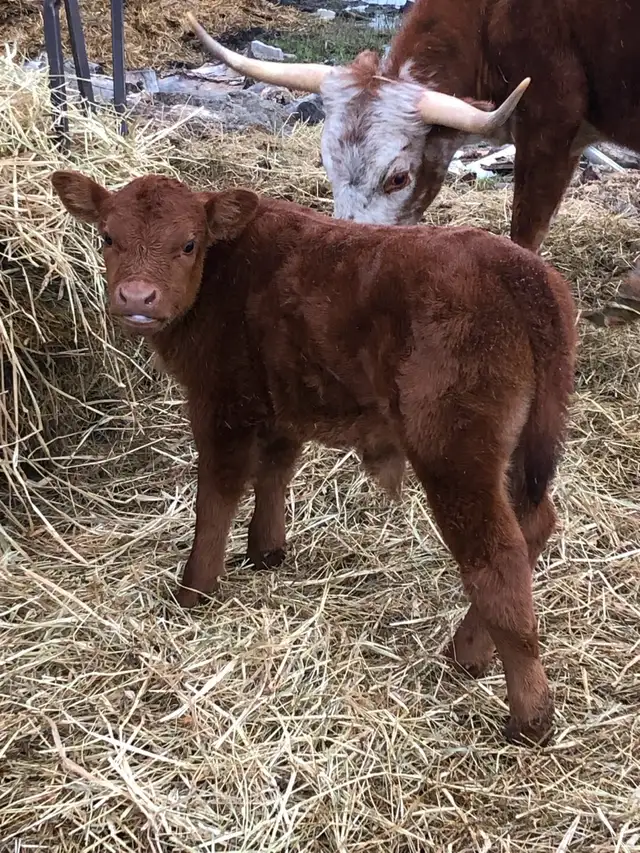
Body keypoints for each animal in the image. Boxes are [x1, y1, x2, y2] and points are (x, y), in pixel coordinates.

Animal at [50, 169, 576, 746]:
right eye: (107, 237)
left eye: (189, 243)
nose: (136, 296)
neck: (225, 272)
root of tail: (517, 268)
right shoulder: (284, 398)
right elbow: (276, 469)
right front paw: (266, 551)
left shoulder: (221, 401)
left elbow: (217, 496)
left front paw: (194, 590)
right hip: (515, 450)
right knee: (534, 523)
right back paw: (468, 654)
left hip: (454, 450)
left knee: (497, 558)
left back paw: (529, 717)